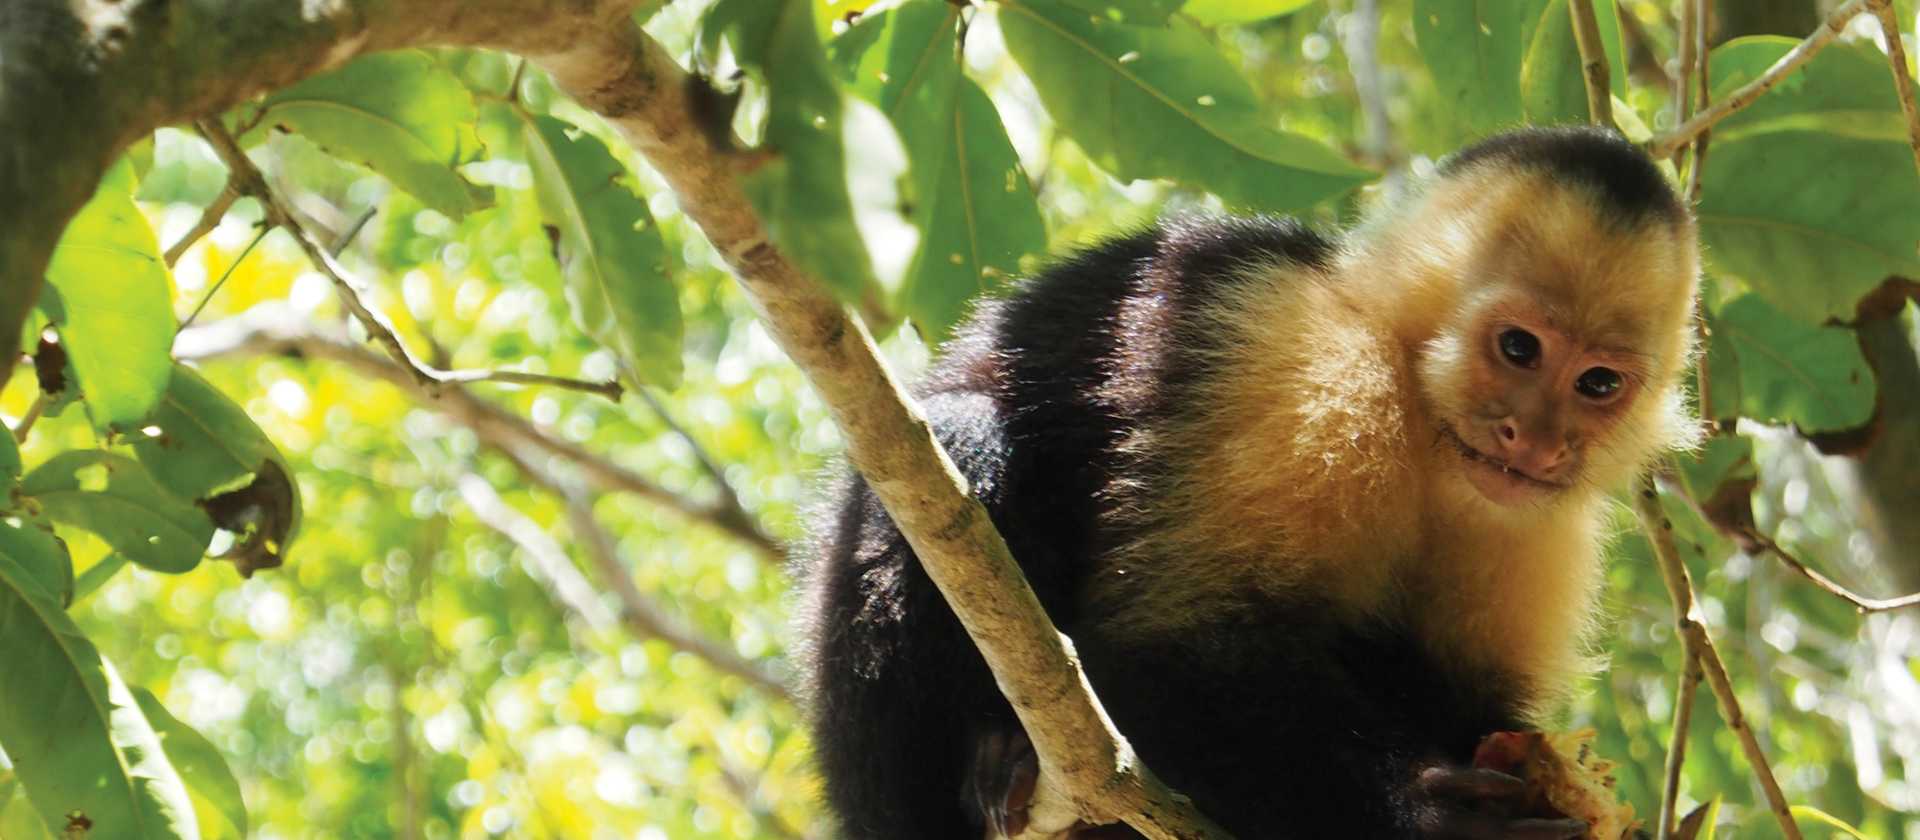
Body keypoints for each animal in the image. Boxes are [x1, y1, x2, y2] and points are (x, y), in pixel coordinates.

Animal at [794, 125, 1700, 840]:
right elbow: (1166, 646)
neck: (1422, 424)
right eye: (1518, 348)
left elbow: (1472, 708)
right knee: (962, 442)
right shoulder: (1302, 358)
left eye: (1597, 384)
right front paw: (1430, 817)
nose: (1536, 441)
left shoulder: (1540, 523)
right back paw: (995, 765)